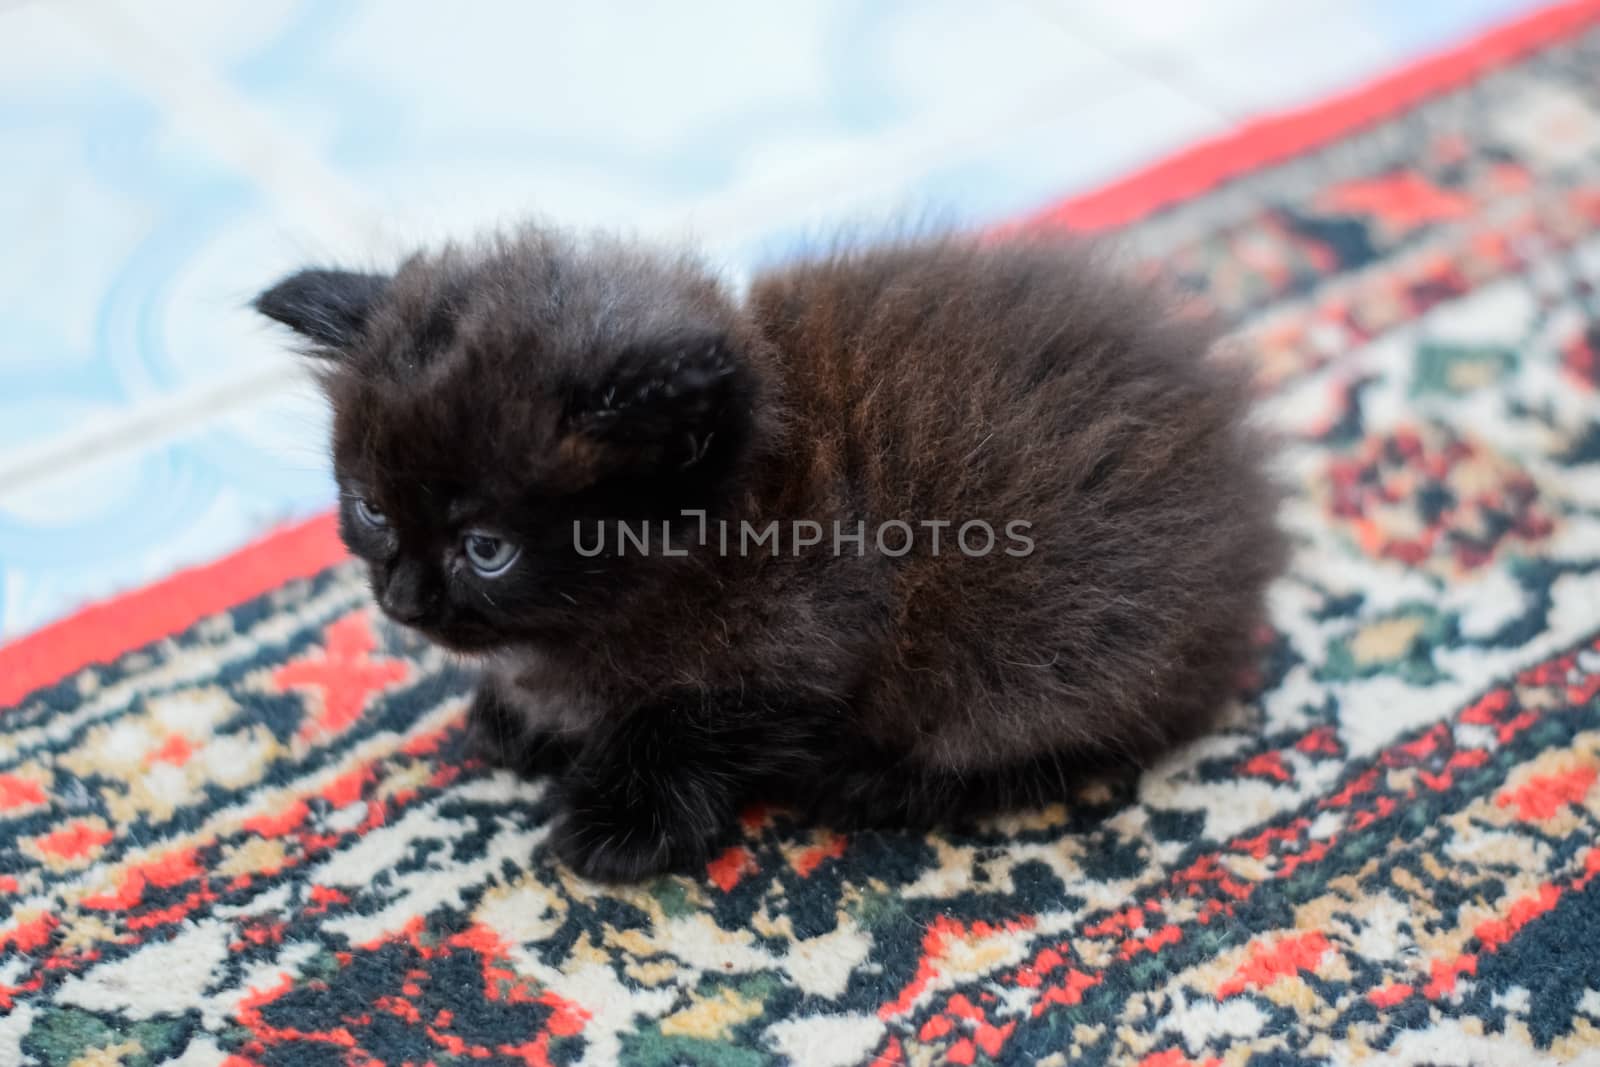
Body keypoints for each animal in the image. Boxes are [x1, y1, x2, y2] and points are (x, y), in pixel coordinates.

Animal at [259, 227, 1286, 883]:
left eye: (486, 548)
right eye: (371, 509)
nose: (401, 596)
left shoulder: (804, 641)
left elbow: (686, 722)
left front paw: (621, 819)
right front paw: (522, 712)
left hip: (1042, 648)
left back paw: (870, 781)